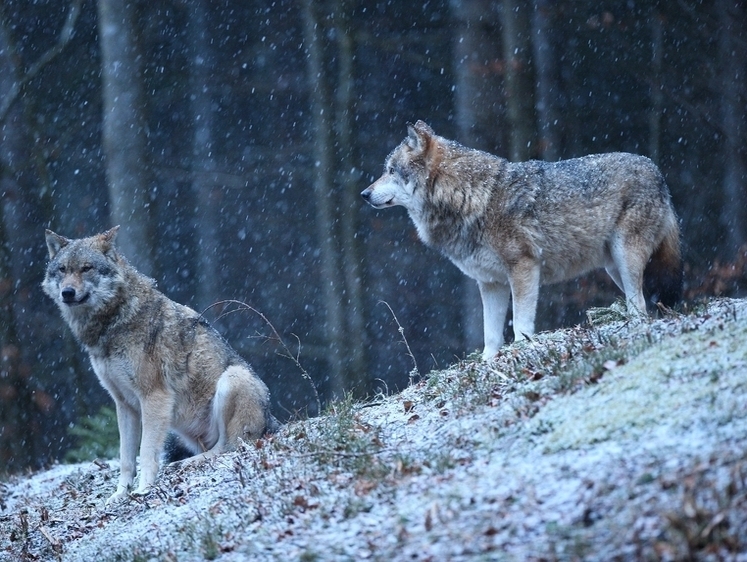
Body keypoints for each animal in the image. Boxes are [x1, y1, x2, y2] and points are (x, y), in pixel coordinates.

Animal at [42, 225, 280, 500]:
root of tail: (272, 420)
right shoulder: (124, 404)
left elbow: (146, 452)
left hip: (233, 378)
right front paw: (119, 495)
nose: (67, 292)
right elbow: (125, 458)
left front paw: (144, 489)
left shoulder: (154, 397)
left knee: (228, 447)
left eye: (86, 268)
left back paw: (185, 464)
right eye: (62, 269)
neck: (114, 321)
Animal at [362, 120, 684, 360]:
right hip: (614, 267)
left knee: (639, 306)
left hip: (625, 259)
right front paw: (488, 364)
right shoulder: (490, 283)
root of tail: (657, 171)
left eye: (390, 170)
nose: (364, 194)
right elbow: (490, 335)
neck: (471, 197)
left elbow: (520, 322)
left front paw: (522, 348)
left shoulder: (524, 267)